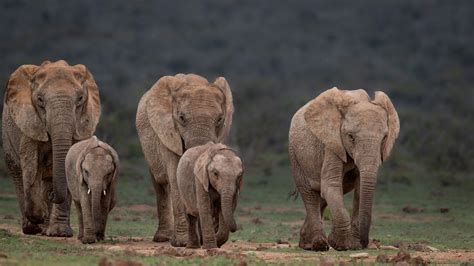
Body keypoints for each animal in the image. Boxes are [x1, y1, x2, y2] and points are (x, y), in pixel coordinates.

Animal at [2, 59, 100, 235]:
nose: (53, 195)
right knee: (17, 172)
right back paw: (32, 228)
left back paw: (45, 228)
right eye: (40, 100)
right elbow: (31, 166)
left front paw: (60, 233)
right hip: (6, 134)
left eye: (80, 99)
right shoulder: (29, 122)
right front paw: (38, 219)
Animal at [135, 73, 233, 247]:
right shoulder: (168, 133)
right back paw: (163, 238)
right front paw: (181, 243)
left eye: (219, 119)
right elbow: (175, 177)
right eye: (181, 117)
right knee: (160, 185)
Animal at [288, 88, 400, 251]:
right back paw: (317, 245)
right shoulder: (332, 143)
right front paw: (341, 245)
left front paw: (351, 244)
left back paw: (307, 243)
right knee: (309, 194)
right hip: (295, 156)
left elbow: (359, 189)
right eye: (351, 137)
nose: (364, 243)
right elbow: (331, 184)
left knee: (321, 198)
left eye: (384, 138)